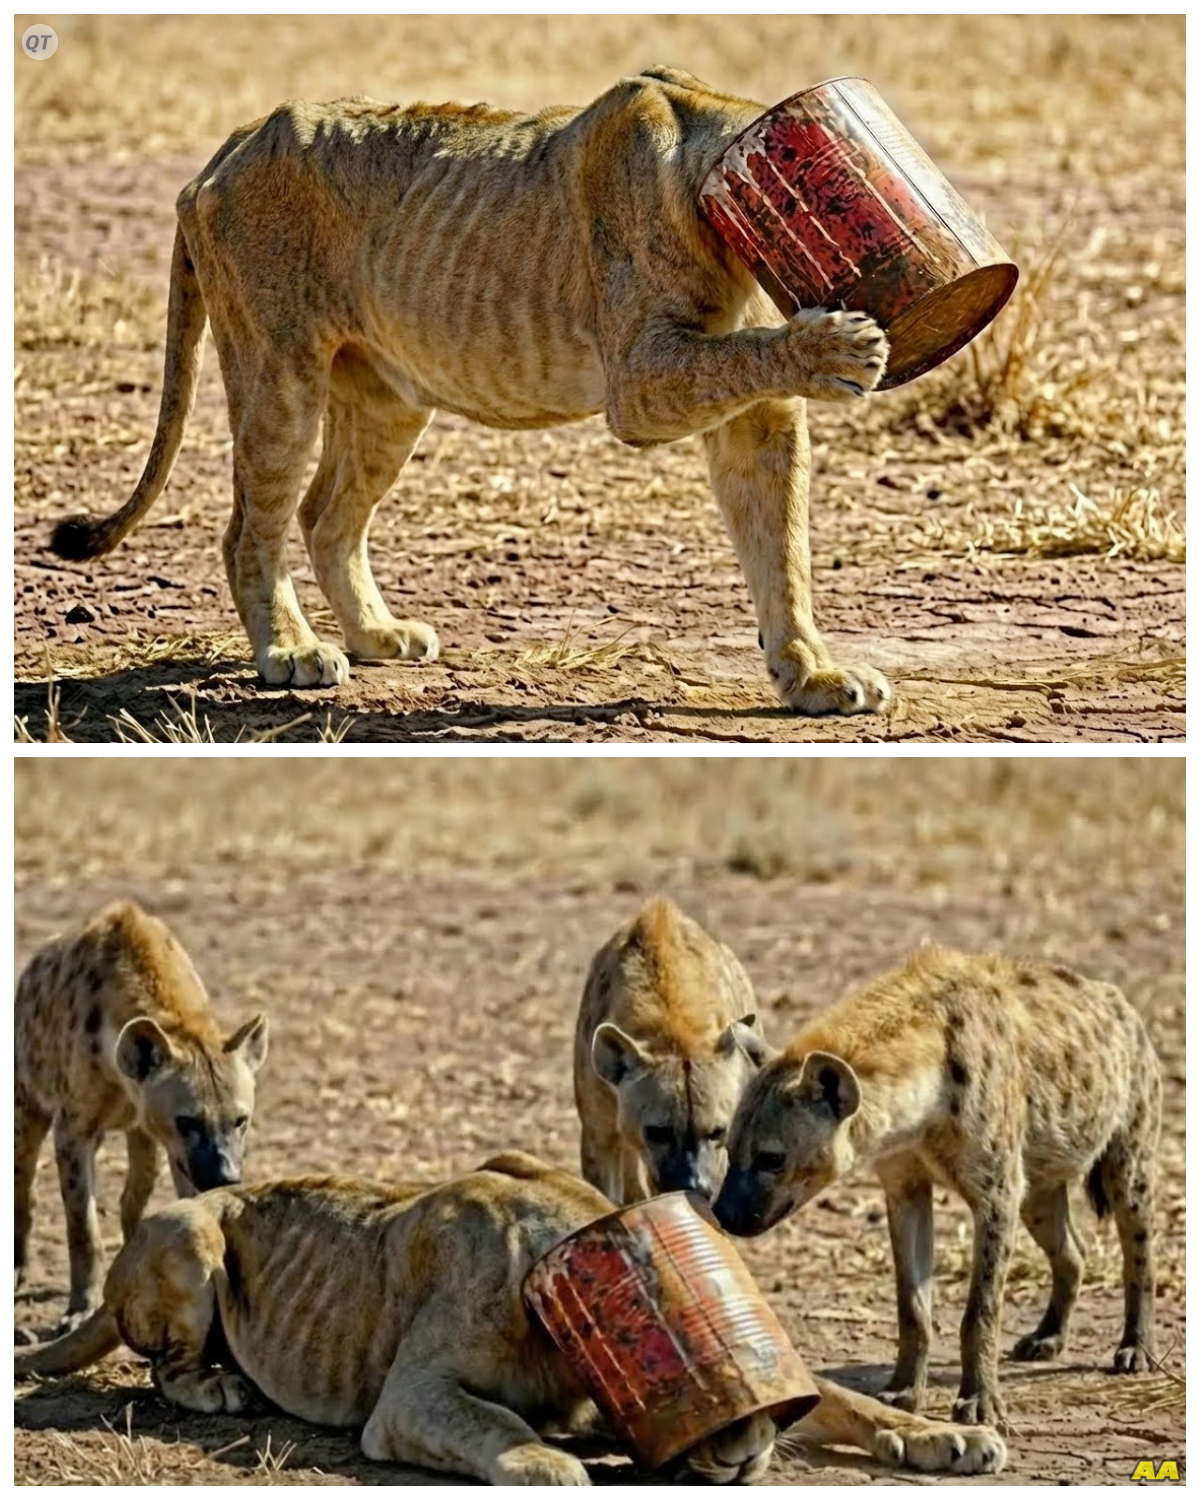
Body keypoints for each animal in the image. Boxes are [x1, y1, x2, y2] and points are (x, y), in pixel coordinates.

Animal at [15, 1154, 1005, 1483]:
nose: (749, 1447)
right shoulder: (408, 1401)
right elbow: (490, 1421)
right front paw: (550, 1461)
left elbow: (848, 1400)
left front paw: (948, 1437)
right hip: (190, 1236)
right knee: (161, 1368)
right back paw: (223, 1388)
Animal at [49, 67, 890, 715]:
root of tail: (234, 140)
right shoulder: (639, 383)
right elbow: (746, 378)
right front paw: (837, 345)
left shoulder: (760, 419)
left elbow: (783, 552)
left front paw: (812, 675)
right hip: (276, 371)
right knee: (249, 530)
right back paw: (291, 652)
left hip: (387, 399)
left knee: (325, 516)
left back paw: (377, 635)